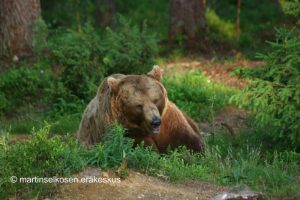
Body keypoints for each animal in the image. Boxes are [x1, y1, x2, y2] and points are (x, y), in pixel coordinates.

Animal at [76, 66, 205, 152]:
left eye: (155, 99)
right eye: (138, 105)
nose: (155, 122)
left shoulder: (170, 121)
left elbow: (188, 142)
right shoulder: (122, 130)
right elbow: (142, 145)